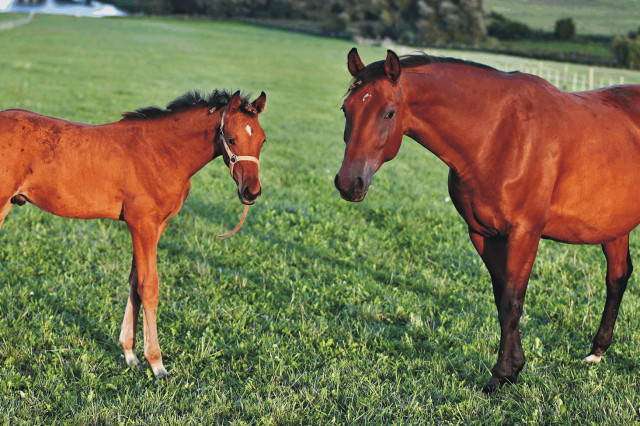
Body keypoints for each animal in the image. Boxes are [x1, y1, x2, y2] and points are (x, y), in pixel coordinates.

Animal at [0, 89, 268, 376]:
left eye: (262, 140)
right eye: (231, 138)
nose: (251, 192)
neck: (161, 152)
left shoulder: (156, 225)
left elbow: (134, 281)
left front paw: (130, 354)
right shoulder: (142, 224)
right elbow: (149, 286)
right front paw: (157, 363)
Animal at [332, 49, 640, 392]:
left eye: (388, 113)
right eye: (347, 108)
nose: (349, 183)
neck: (498, 134)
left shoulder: (524, 233)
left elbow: (512, 302)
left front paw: (501, 374)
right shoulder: (484, 234)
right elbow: (501, 297)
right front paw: (515, 367)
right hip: (614, 227)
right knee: (617, 277)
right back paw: (597, 351)